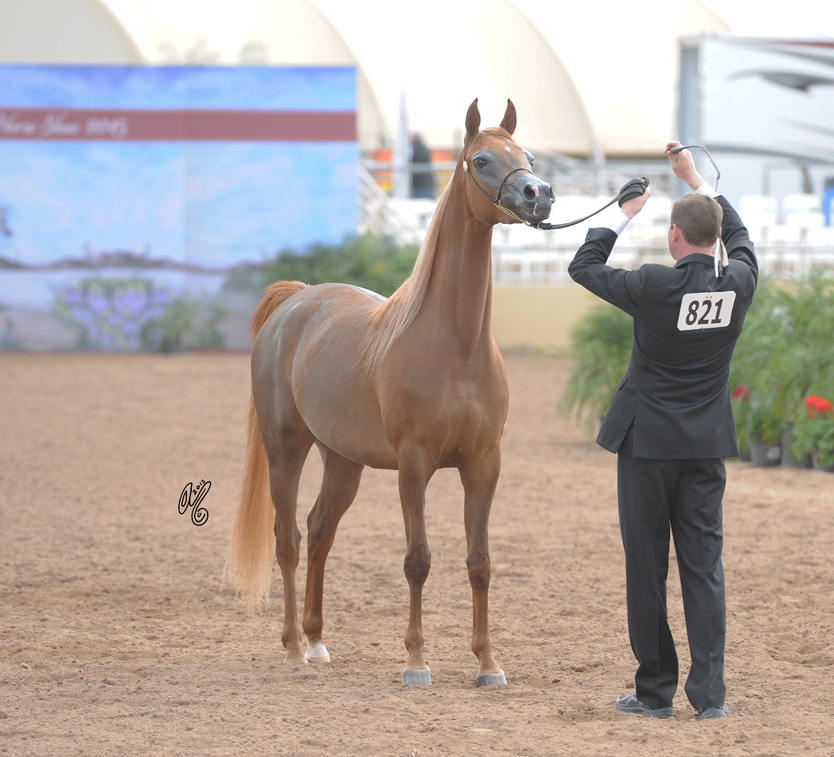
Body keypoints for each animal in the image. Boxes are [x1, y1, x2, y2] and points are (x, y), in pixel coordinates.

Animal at [226, 99, 554, 686]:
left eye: (529, 157)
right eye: (482, 160)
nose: (538, 195)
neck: (457, 347)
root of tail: (297, 299)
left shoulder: (484, 464)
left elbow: (480, 562)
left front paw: (488, 664)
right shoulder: (414, 464)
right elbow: (417, 560)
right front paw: (417, 662)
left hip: (342, 460)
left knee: (320, 530)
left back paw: (317, 641)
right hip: (286, 448)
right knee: (288, 540)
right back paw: (293, 647)